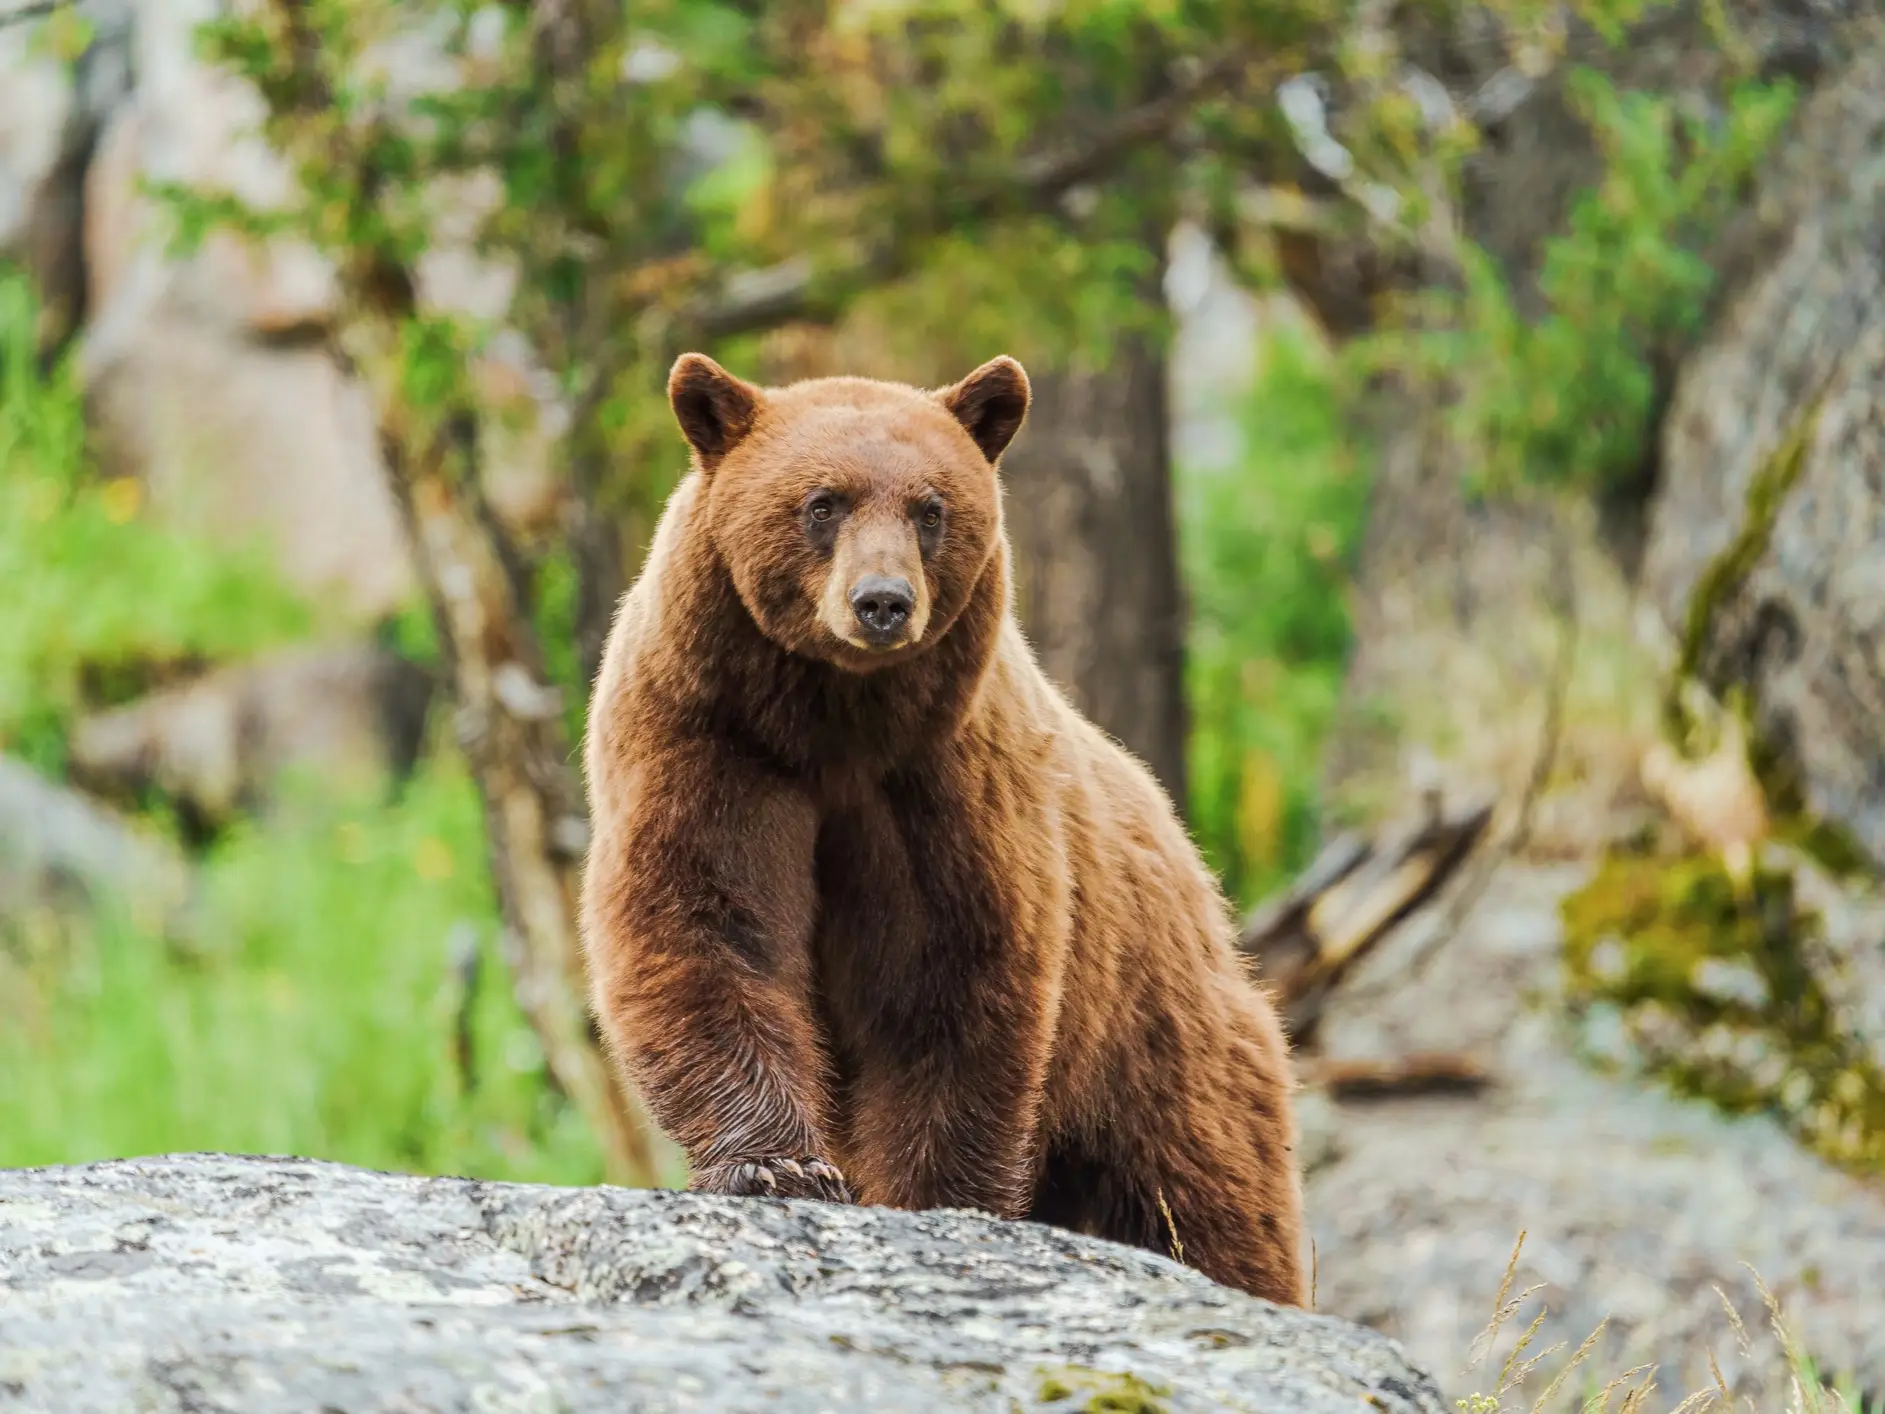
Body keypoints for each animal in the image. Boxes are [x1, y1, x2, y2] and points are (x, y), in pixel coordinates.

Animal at [580, 346, 1304, 1304]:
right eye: (822, 503)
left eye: (930, 508)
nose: (882, 602)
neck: (832, 721)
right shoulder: (709, 742)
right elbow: (704, 923)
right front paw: (777, 1167)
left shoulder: (944, 783)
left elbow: (947, 977)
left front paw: (931, 1196)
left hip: (1159, 1044)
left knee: (1204, 1202)